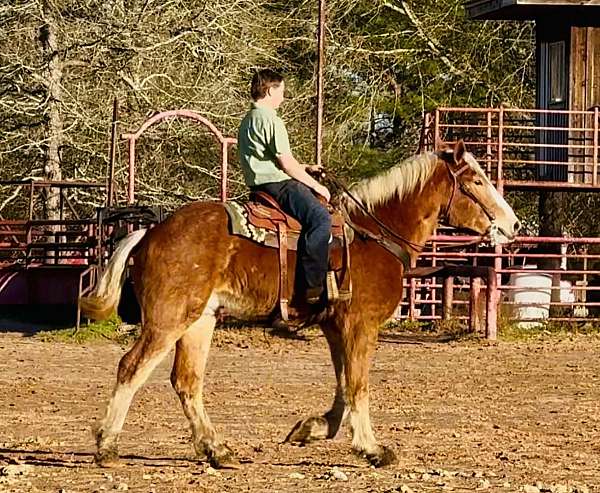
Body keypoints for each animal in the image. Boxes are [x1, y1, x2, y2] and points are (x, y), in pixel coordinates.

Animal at [79, 139, 520, 468]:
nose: (513, 225)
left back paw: (217, 450)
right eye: (476, 180)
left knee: (187, 381)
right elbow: (358, 385)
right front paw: (372, 449)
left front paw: (312, 428)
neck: (373, 234)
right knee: (131, 367)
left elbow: (343, 387)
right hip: (168, 319)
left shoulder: (335, 326)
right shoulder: (361, 325)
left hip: (199, 320)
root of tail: (151, 232)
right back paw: (107, 446)